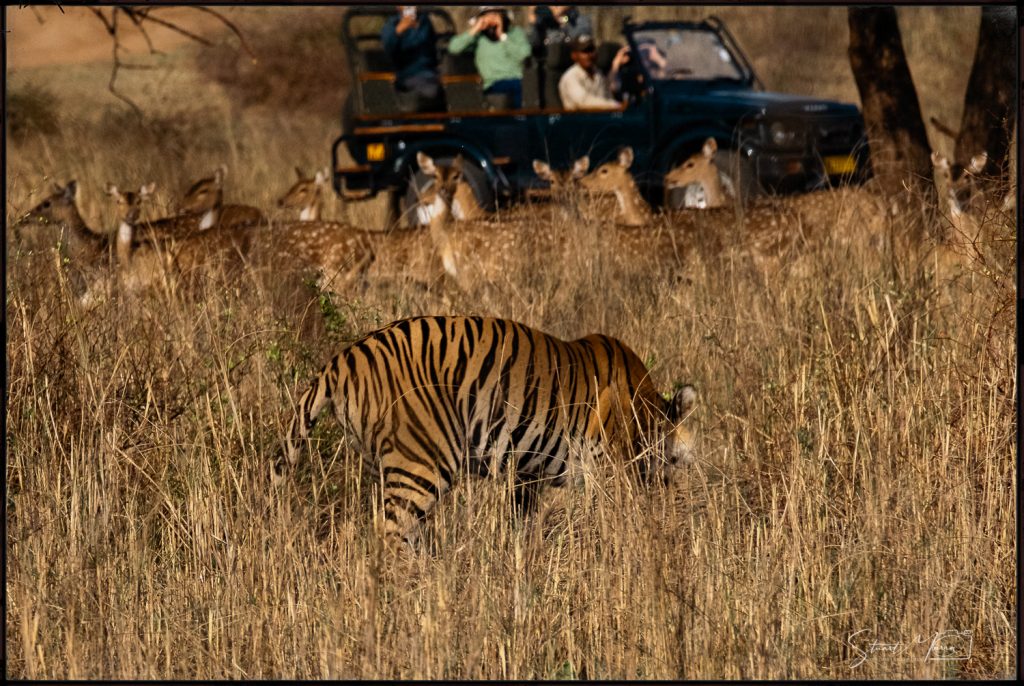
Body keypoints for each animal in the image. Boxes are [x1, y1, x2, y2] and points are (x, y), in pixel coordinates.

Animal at [274, 315, 699, 548]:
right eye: (678, 462)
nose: (678, 496)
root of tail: (341, 360)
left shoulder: (526, 476)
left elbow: (521, 523)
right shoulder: (612, 472)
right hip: (423, 464)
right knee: (390, 533)